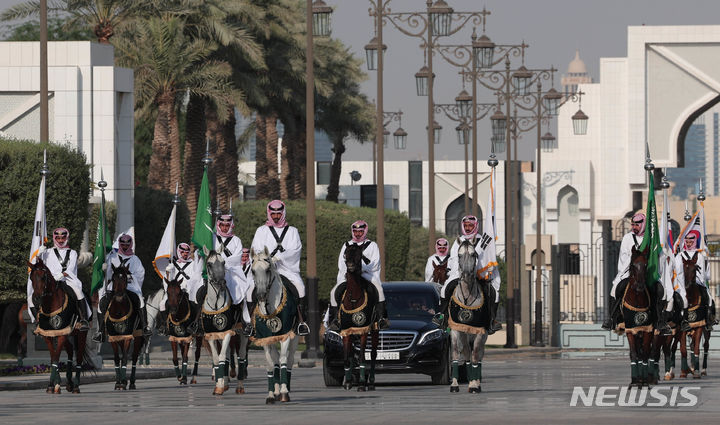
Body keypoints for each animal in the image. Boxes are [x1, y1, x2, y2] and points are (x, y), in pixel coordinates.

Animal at [28, 256, 93, 392]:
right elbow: (53, 356)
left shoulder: (62, 334)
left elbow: (56, 356)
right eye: (31, 277)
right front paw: (52, 384)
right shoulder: (48, 334)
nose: (36, 299)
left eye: (43, 277)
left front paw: (54, 385)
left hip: (81, 334)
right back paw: (69, 382)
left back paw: (76, 385)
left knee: (79, 356)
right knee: (70, 351)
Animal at [198, 245, 240, 394]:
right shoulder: (211, 335)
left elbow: (222, 357)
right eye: (209, 264)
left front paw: (221, 386)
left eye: (223, 262)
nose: (222, 283)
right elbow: (216, 359)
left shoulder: (227, 332)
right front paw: (218, 385)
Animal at [252, 248, 300, 404]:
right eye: (253, 271)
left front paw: (284, 392)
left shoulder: (285, 335)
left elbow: (284, 360)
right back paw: (277, 391)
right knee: (275, 360)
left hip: (295, 337)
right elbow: (270, 363)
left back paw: (286, 389)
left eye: (268, 270)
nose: (261, 295)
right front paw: (271, 394)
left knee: (289, 360)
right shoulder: (265, 338)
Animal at [332, 242, 380, 390]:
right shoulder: (346, 331)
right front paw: (348, 382)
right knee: (352, 355)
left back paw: (371, 382)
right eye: (346, 254)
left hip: (375, 329)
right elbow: (347, 358)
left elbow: (363, 357)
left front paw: (362, 384)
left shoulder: (364, 330)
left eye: (360, 255)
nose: (350, 265)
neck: (353, 298)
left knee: (373, 354)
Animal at [448, 237, 492, 392]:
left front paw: (474, 385)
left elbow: (475, 356)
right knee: (466, 352)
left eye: (474, 255)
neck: (467, 295)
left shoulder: (479, 332)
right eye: (459, 255)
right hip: (464, 334)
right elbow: (456, 354)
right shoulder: (456, 329)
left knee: (478, 355)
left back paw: (476, 381)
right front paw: (454, 384)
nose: (466, 275)